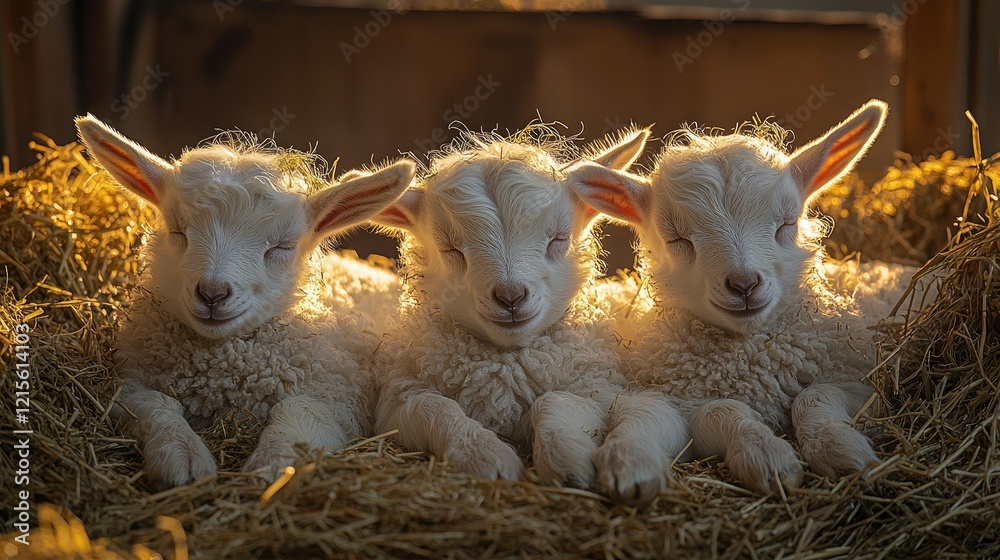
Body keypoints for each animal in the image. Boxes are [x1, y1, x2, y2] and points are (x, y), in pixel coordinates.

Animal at [76, 115, 415, 488]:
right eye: (177, 230)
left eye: (283, 245)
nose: (212, 293)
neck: (222, 372)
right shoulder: (127, 389)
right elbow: (157, 403)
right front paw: (181, 455)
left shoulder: (339, 402)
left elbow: (297, 409)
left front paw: (273, 462)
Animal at [370, 126, 688, 498]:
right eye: (449, 248)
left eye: (559, 239)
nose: (510, 297)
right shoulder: (397, 401)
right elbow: (436, 408)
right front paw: (486, 456)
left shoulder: (602, 387)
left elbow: (556, 401)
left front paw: (578, 459)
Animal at [569, 100, 889, 494]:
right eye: (676, 238)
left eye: (787, 223)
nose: (744, 284)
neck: (749, 361)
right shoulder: (687, 406)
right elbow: (723, 411)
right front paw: (767, 455)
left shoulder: (857, 379)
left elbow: (813, 397)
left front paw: (840, 449)